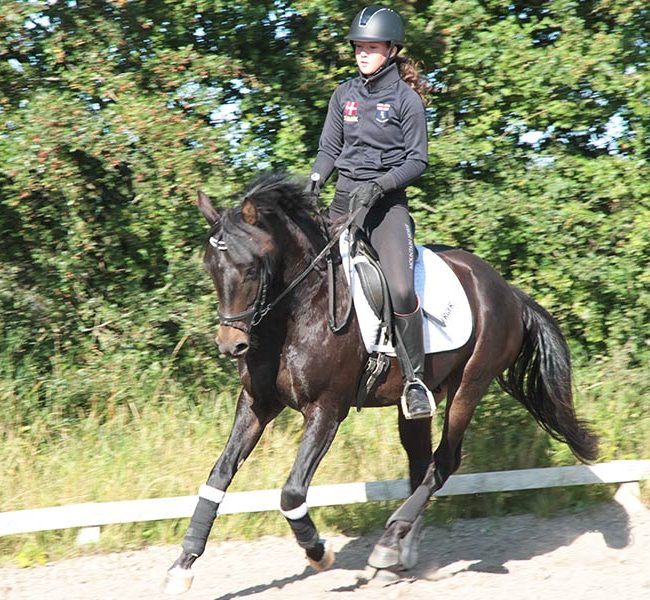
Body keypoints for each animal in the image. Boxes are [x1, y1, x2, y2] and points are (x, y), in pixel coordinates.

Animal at [163, 171, 598, 594]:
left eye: (252, 268)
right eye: (210, 267)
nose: (230, 344)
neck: (296, 310)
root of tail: (507, 290)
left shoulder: (327, 409)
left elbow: (291, 492)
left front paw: (318, 551)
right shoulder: (257, 403)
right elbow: (218, 476)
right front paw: (182, 566)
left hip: (469, 386)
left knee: (445, 461)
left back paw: (387, 548)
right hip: (419, 400)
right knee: (421, 464)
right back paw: (399, 549)